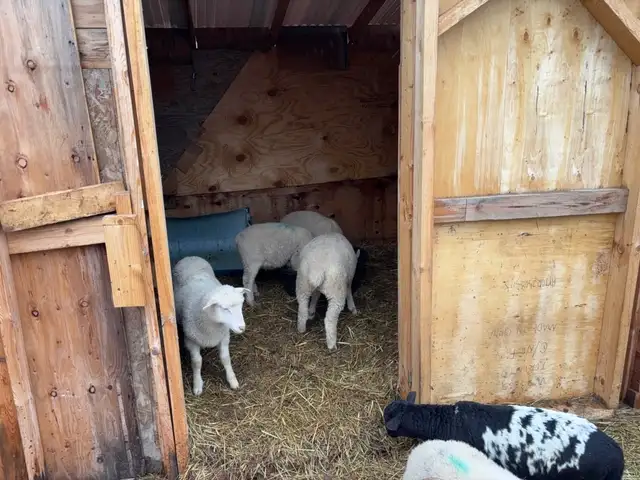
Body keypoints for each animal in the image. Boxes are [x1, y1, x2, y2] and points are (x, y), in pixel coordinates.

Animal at [173, 256, 249, 395]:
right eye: (225, 309)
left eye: (241, 305)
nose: (242, 327)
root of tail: (191, 257)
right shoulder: (191, 340)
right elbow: (197, 362)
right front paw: (197, 385)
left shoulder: (223, 337)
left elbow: (225, 358)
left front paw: (232, 380)